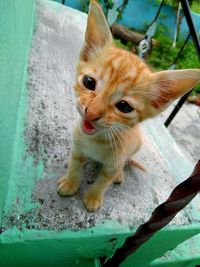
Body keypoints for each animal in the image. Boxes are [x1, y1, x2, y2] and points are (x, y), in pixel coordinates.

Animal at [57, 0, 200, 214]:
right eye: (89, 82)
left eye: (124, 106)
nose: (92, 113)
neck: (96, 141)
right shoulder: (77, 148)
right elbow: (74, 165)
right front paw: (70, 182)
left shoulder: (112, 163)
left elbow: (103, 181)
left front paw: (93, 197)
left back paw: (119, 174)